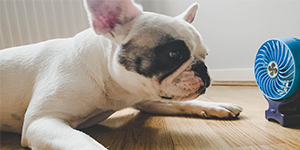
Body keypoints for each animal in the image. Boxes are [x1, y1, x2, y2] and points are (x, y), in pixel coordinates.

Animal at [0, 0, 243, 149]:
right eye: (175, 54)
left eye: (205, 55)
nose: (202, 68)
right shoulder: (42, 121)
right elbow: (85, 143)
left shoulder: (145, 99)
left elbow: (183, 103)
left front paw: (217, 105)